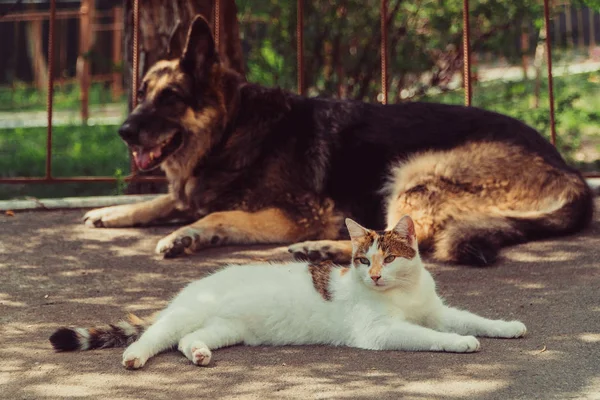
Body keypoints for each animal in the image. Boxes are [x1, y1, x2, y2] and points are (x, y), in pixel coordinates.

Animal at [50, 216, 524, 368]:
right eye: (362, 259)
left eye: (387, 259)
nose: (373, 276)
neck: (402, 294)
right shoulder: (380, 332)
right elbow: (431, 336)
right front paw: (461, 343)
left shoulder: (436, 310)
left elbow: (470, 318)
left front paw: (508, 326)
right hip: (182, 316)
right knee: (154, 336)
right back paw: (134, 357)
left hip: (225, 329)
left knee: (188, 341)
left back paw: (200, 354)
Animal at [82, 15, 592, 268]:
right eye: (141, 93)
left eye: (170, 98)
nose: (124, 131)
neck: (233, 130)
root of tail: (571, 174)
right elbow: (167, 201)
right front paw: (112, 211)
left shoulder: (305, 214)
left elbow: (214, 213)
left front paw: (184, 235)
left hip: (414, 173)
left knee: (407, 243)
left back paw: (326, 249)